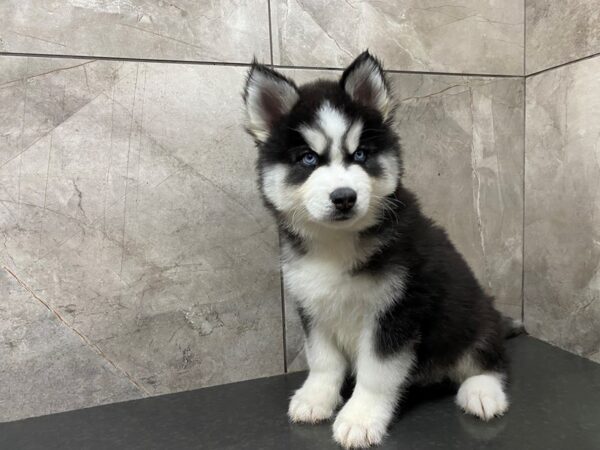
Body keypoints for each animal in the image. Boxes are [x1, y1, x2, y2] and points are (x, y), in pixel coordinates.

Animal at [244, 53, 520, 450]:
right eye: (308, 159)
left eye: (360, 154)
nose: (344, 197)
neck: (337, 243)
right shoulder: (313, 305)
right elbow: (323, 360)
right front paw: (316, 397)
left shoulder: (396, 311)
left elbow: (376, 372)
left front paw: (360, 417)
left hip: (471, 314)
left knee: (489, 360)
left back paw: (483, 393)